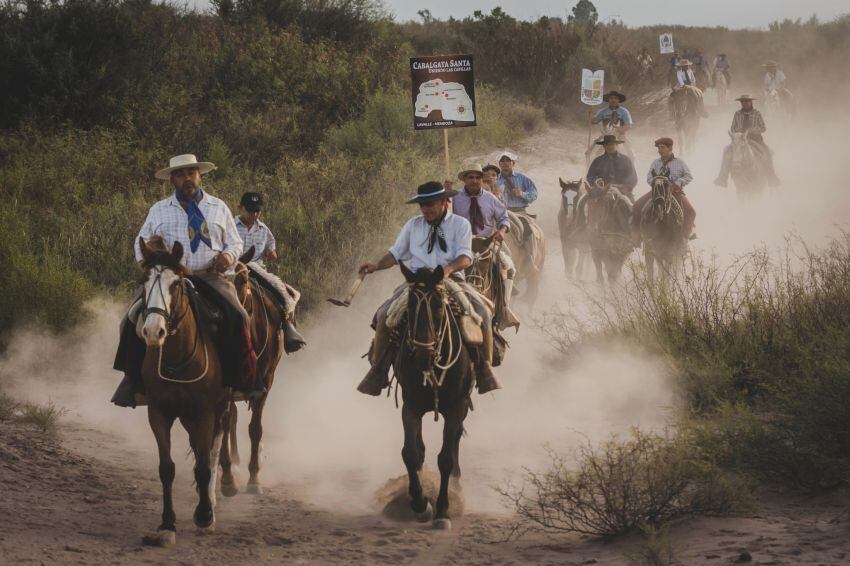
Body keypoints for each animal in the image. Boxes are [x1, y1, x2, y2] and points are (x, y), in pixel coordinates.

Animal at [136, 237, 229, 548]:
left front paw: (204, 516)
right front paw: (167, 525)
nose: (154, 331)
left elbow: (204, 464)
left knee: (213, 450)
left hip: (220, 409)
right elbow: (167, 468)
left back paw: (210, 504)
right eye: (143, 280)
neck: (178, 360)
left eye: (175, 283)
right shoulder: (158, 413)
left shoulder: (205, 412)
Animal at [219, 247, 284, 496]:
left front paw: (254, 478)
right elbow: (225, 423)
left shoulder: (266, 382)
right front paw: (227, 479)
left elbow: (256, 428)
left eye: (243, 278)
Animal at [394, 264, 474, 532]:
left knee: (455, 440)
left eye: (439, 305)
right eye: (410, 305)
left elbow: (446, 458)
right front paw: (420, 504)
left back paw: (456, 484)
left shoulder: (457, 407)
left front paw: (442, 511)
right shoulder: (410, 406)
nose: (423, 357)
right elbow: (410, 453)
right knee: (419, 449)